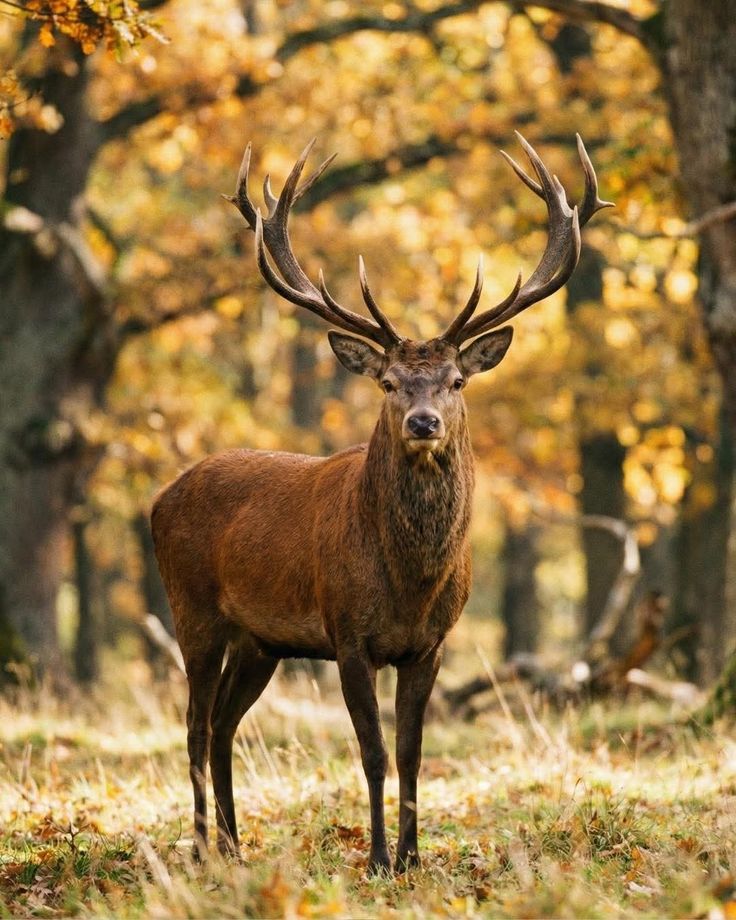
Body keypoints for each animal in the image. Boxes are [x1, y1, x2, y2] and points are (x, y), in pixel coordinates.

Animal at [151, 133, 610, 873]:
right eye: (389, 382)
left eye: (456, 380)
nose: (423, 422)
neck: (410, 582)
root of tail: (160, 499)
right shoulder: (348, 633)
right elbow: (371, 754)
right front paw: (374, 859)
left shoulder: (431, 645)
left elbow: (412, 752)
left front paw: (414, 858)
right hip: (192, 608)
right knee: (193, 723)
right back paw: (200, 849)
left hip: (261, 640)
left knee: (222, 724)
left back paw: (235, 846)